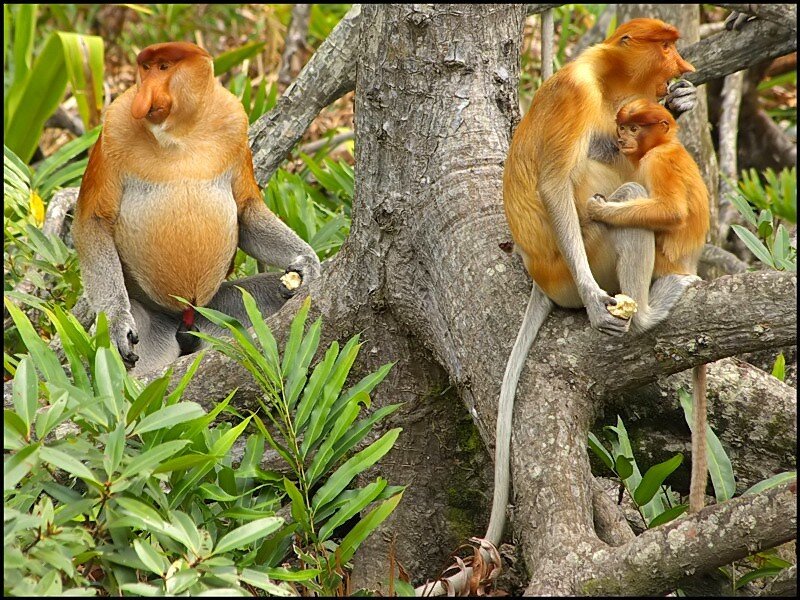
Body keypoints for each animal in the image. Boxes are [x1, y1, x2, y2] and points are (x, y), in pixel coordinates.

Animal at [73, 42, 321, 375]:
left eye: (163, 67)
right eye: (145, 69)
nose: (144, 96)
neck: (181, 132)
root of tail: (185, 321)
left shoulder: (234, 123)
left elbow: (246, 210)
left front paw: (307, 264)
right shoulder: (114, 127)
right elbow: (94, 220)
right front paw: (117, 322)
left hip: (216, 308)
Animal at [586, 98, 709, 513]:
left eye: (636, 127)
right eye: (624, 126)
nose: (622, 137)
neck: (665, 143)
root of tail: (689, 264)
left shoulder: (659, 162)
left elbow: (670, 210)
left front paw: (598, 210)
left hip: (662, 260)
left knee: (633, 194)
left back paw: (642, 315)